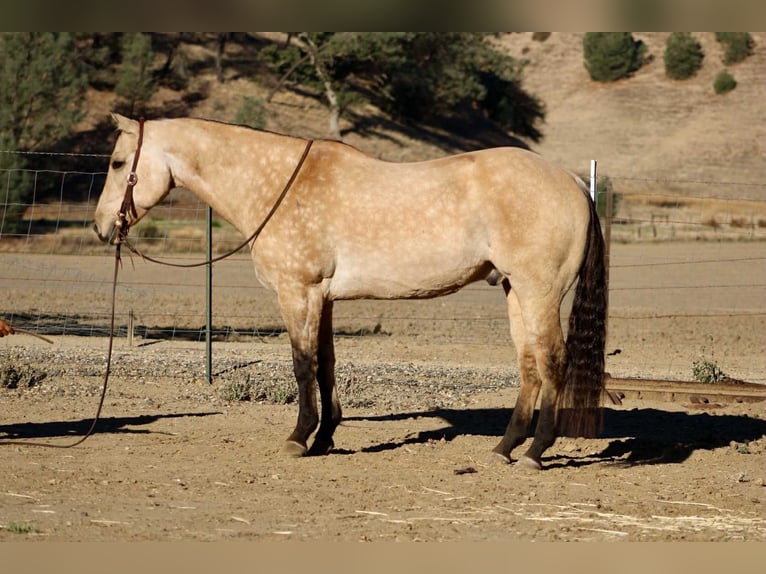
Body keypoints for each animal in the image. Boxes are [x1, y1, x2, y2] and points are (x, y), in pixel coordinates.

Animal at [93, 114, 606, 470]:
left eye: (118, 163)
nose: (101, 228)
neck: (280, 186)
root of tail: (573, 182)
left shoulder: (297, 293)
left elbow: (302, 366)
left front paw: (298, 439)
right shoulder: (323, 299)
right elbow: (325, 366)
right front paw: (324, 438)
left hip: (540, 292)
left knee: (552, 362)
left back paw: (535, 452)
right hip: (516, 291)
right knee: (530, 365)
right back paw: (504, 447)